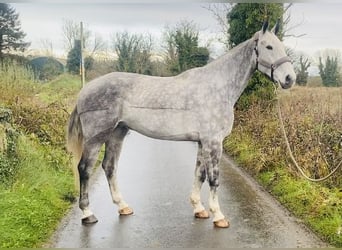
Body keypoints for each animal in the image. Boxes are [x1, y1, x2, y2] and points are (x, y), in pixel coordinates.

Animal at [67, 21, 296, 229]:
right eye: (268, 46)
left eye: (282, 45)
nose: (289, 78)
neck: (218, 87)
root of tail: (85, 90)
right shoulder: (214, 142)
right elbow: (214, 178)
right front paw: (218, 216)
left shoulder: (203, 142)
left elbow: (199, 174)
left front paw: (199, 208)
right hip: (96, 138)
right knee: (85, 169)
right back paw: (88, 214)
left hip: (117, 133)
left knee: (109, 166)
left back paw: (123, 206)